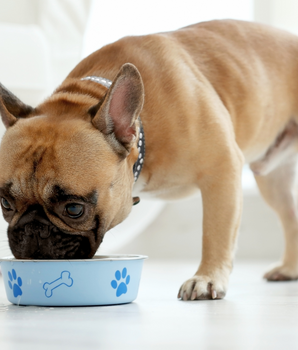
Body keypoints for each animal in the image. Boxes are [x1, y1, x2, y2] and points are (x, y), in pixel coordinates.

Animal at [0, 19, 298, 300]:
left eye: (74, 209)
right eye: (5, 204)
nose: (33, 230)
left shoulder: (222, 169)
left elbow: (216, 233)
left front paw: (207, 278)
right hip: (273, 183)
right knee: (289, 216)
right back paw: (288, 268)